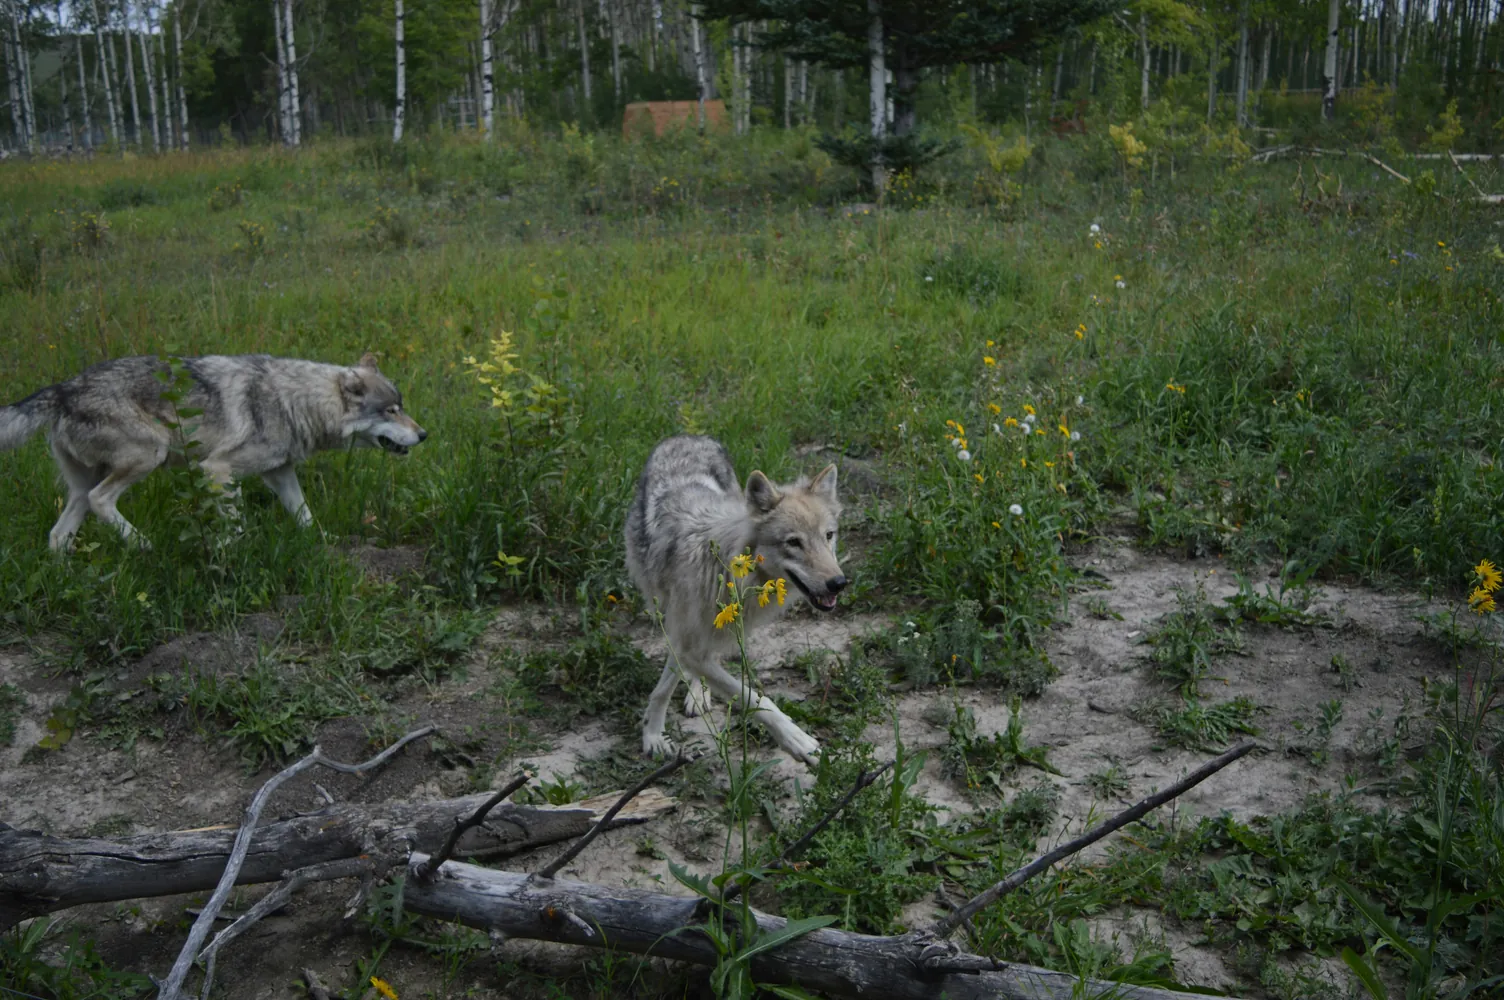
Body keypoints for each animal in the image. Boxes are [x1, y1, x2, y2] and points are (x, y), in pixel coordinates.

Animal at [0, 352, 426, 551]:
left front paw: (323, 544)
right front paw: (231, 552)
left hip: (80, 489)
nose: (424, 435)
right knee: (100, 500)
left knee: (59, 533)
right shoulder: (217, 470)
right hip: (148, 456)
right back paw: (145, 545)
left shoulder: (280, 473)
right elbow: (236, 526)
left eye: (402, 406)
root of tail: (63, 389)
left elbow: (305, 515)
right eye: (391, 411)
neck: (294, 402)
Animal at [625, 435, 846, 766]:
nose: (839, 583)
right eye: (794, 542)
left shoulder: (693, 639)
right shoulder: (686, 636)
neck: (726, 568)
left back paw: (698, 694)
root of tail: (688, 437)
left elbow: (681, 677)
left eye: (828, 536)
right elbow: (753, 698)